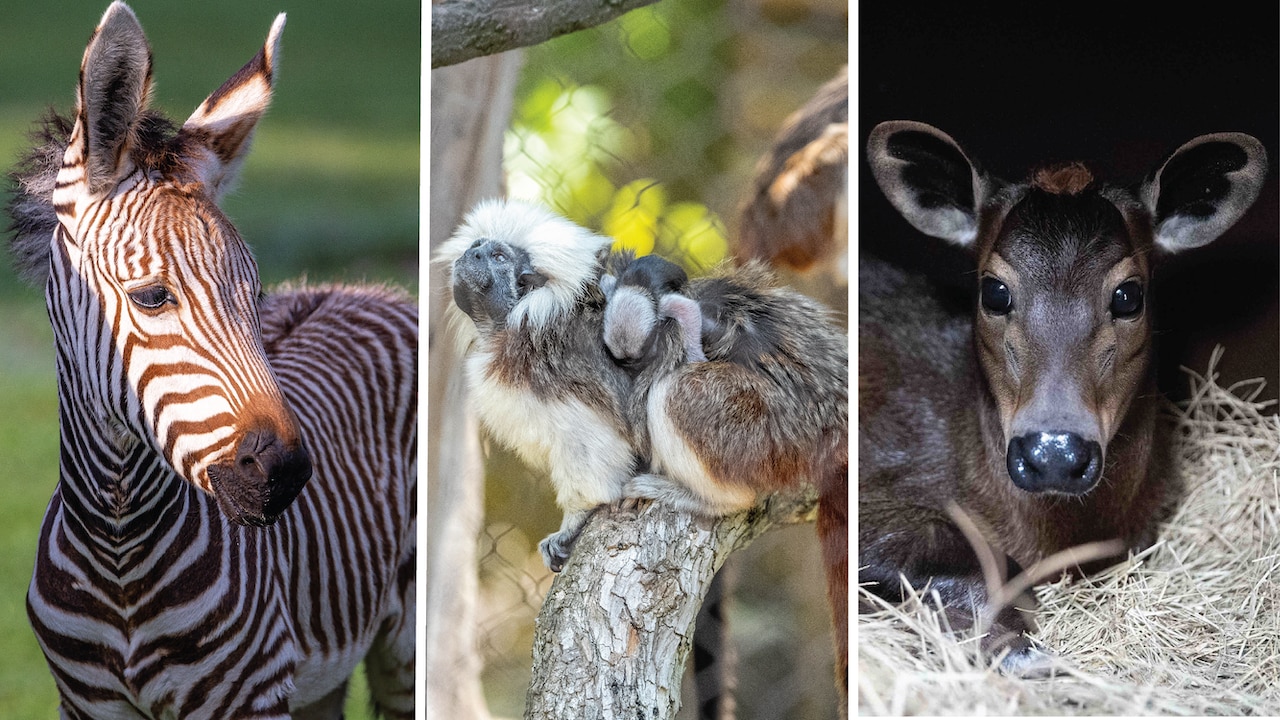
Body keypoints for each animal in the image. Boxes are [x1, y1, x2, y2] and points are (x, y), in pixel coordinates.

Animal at [8, 2, 419, 712]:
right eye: (151, 297)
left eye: (256, 295)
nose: (285, 473)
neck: (118, 552)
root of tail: (366, 287)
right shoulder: (85, 703)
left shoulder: (253, 695)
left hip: (402, 646)